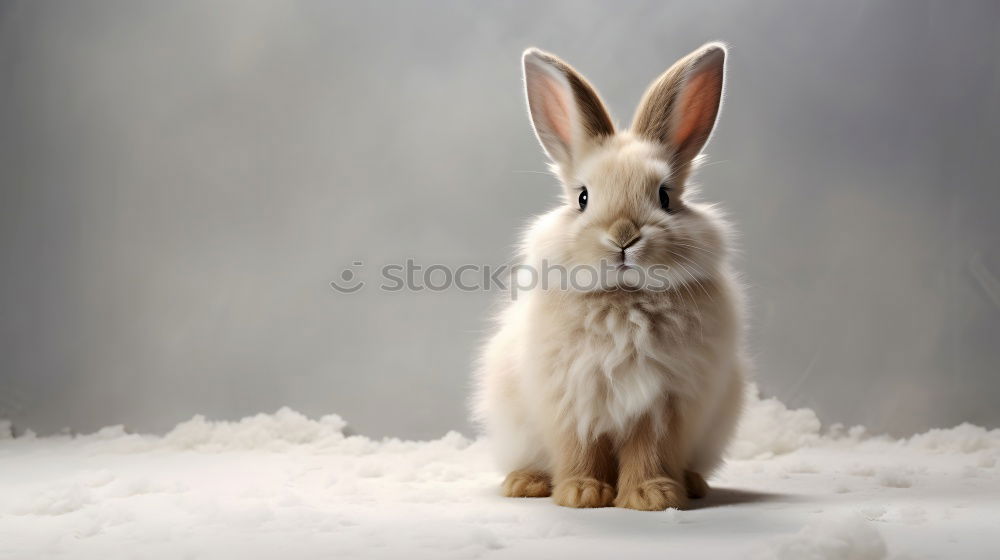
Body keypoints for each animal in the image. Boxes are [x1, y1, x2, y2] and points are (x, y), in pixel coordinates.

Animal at [472, 41, 748, 510]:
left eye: (665, 196)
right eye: (583, 197)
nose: (623, 237)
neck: (624, 298)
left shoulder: (664, 403)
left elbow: (650, 451)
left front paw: (652, 496)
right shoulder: (572, 397)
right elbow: (581, 448)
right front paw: (581, 494)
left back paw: (693, 484)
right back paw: (525, 484)